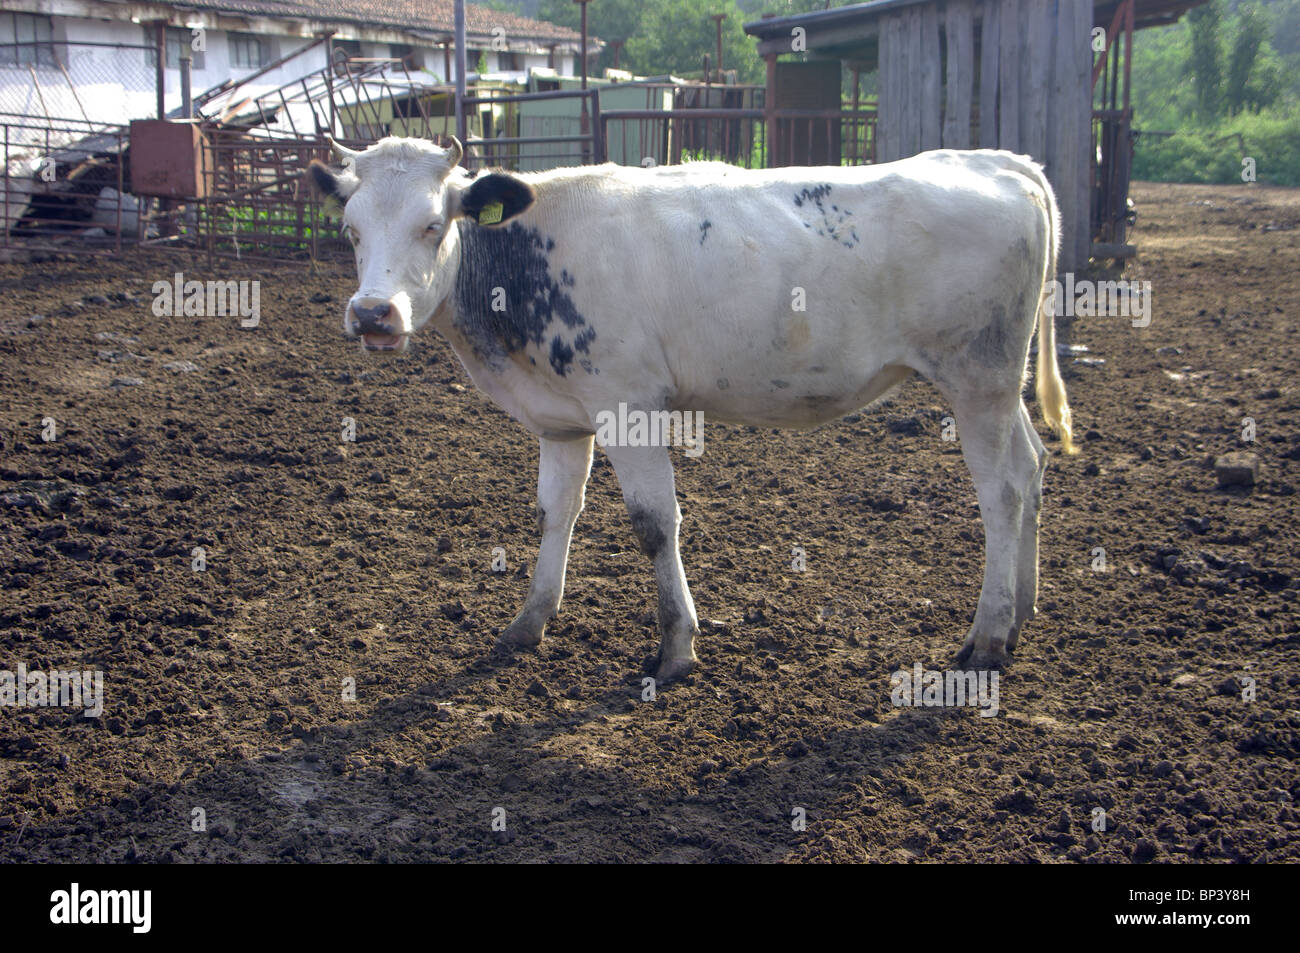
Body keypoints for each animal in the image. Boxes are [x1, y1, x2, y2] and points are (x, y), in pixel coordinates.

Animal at [306, 137, 1076, 681]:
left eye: (434, 224)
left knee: (1002, 491)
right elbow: (556, 513)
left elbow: (653, 523)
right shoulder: (562, 418)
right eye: (350, 229)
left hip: (977, 377)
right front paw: (529, 622)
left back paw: (987, 637)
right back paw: (1023, 611)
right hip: (1000, 384)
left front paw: (676, 646)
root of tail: (999, 161)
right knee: (1032, 466)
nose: (373, 314)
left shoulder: (629, 404)